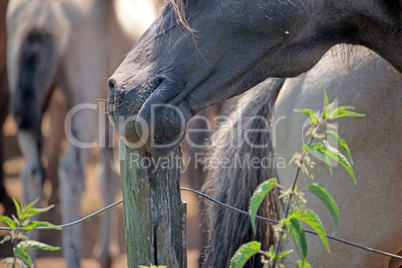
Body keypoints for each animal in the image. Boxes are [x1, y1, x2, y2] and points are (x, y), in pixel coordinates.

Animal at [6, 1, 157, 266]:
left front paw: (106, 253)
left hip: (28, 102)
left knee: (32, 173)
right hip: (82, 104)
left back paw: (27, 255)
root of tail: (43, 14)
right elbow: (109, 174)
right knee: (71, 171)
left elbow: (108, 175)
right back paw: (73, 257)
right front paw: (106, 253)